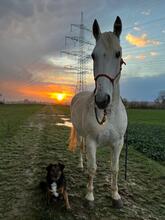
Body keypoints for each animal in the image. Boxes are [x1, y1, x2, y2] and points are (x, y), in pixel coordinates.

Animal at [68, 16, 127, 208]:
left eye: (118, 54)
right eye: (93, 55)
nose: (101, 100)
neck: (108, 114)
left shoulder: (118, 143)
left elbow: (114, 169)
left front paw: (115, 196)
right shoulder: (92, 141)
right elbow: (93, 169)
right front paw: (89, 197)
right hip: (79, 132)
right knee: (81, 148)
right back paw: (81, 165)